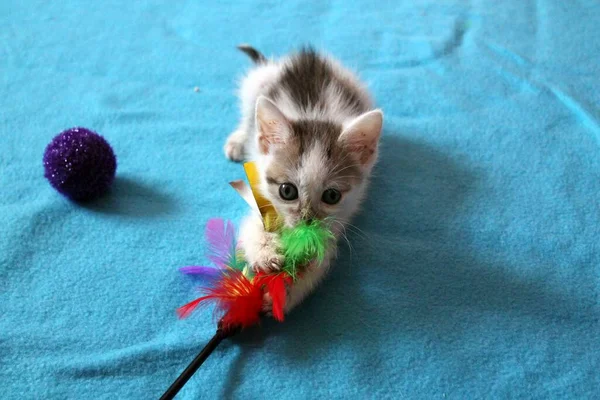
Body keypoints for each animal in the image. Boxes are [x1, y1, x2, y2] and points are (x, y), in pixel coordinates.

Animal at [225, 44, 384, 312]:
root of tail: (307, 57)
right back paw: (238, 140)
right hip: (255, 85)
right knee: (248, 117)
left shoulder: (338, 220)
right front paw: (264, 253)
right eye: (287, 191)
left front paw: (288, 290)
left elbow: (323, 254)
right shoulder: (261, 198)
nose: (307, 221)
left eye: (332, 196)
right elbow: (252, 226)